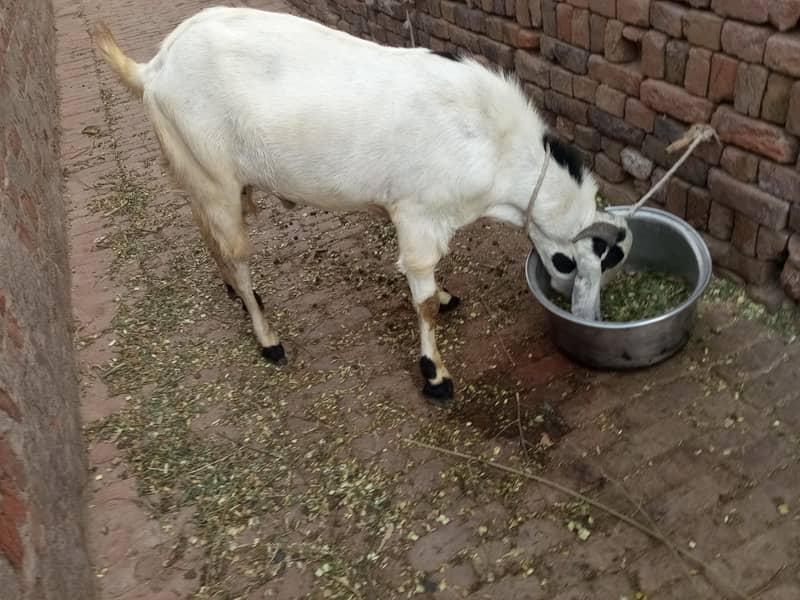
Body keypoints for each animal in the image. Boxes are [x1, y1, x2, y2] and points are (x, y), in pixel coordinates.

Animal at [92, 7, 632, 405]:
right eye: (568, 262)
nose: (589, 314)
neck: (493, 141)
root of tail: (154, 69)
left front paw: (446, 297)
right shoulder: (418, 216)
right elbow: (421, 297)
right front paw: (435, 375)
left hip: (203, 175)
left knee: (207, 231)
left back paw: (234, 292)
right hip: (214, 176)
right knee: (237, 252)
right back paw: (267, 337)